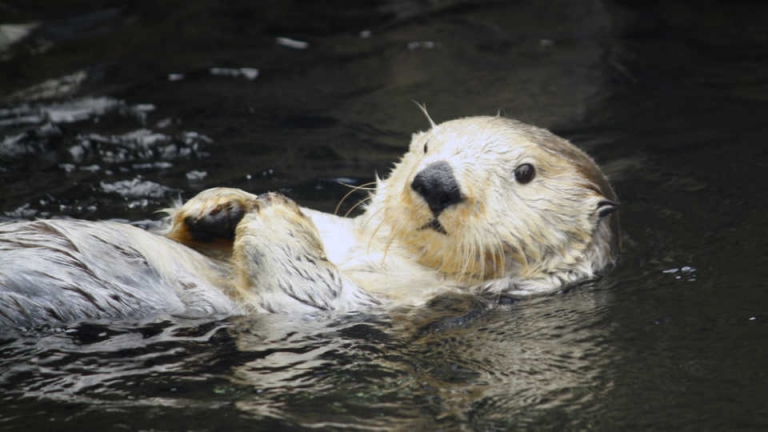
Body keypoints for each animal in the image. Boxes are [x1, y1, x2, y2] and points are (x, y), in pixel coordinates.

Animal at [0, 115, 616, 328]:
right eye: (426, 146)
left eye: (525, 172)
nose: (436, 181)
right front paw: (220, 203)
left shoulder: (375, 304)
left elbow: (303, 290)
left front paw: (272, 212)